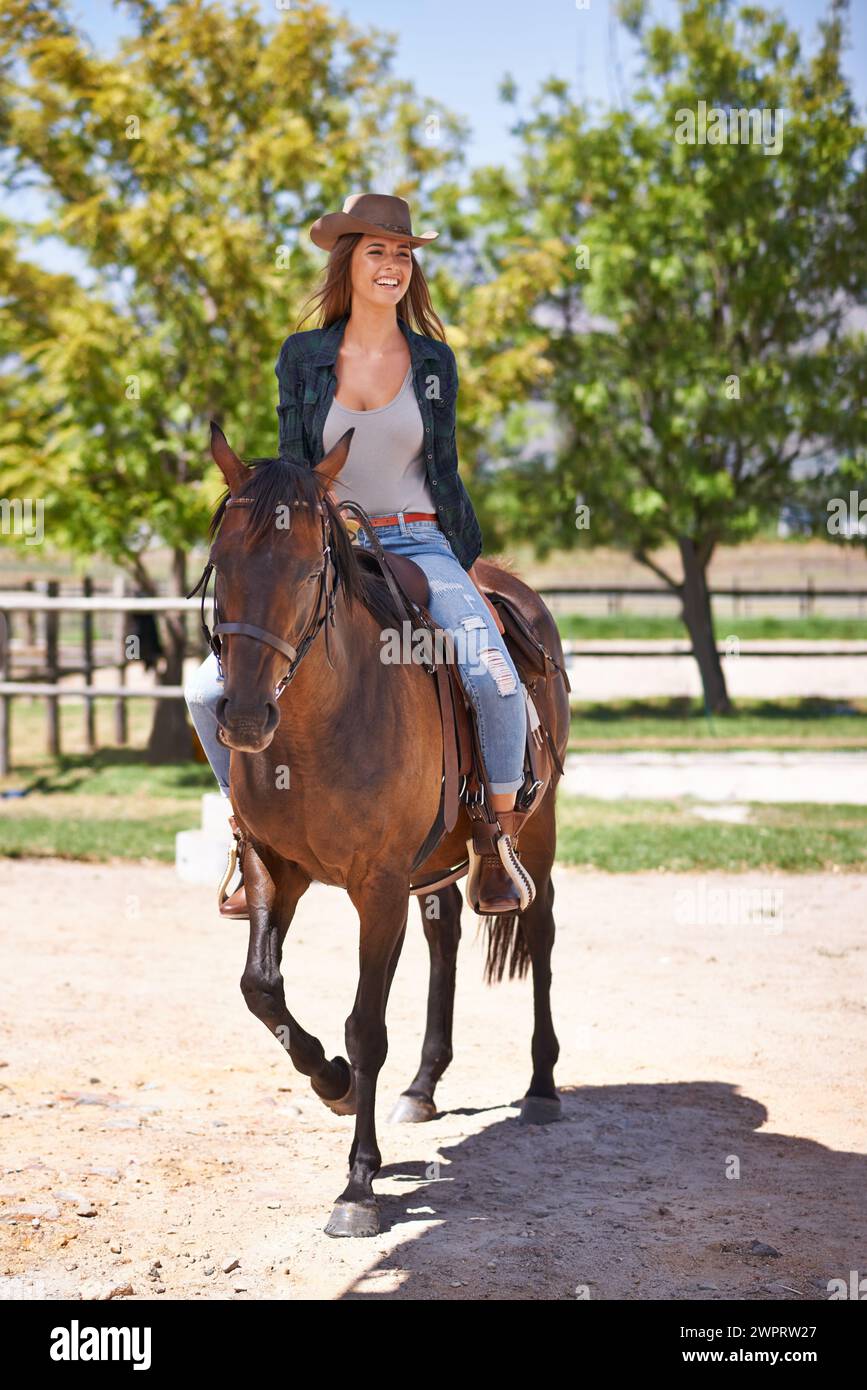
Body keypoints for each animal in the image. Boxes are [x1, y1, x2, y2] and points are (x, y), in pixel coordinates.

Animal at [202, 422, 569, 1239]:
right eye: (221, 563)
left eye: (311, 568)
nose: (244, 716)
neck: (316, 729)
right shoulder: (276, 866)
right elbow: (259, 988)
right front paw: (332, 1084)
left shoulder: (377, 887)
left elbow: (366, 1025)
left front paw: (358, 1186)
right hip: (434, 864)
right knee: (446, 931)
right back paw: (423, 1086)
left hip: (535, 833)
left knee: (538, 931)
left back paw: (540, 1086)